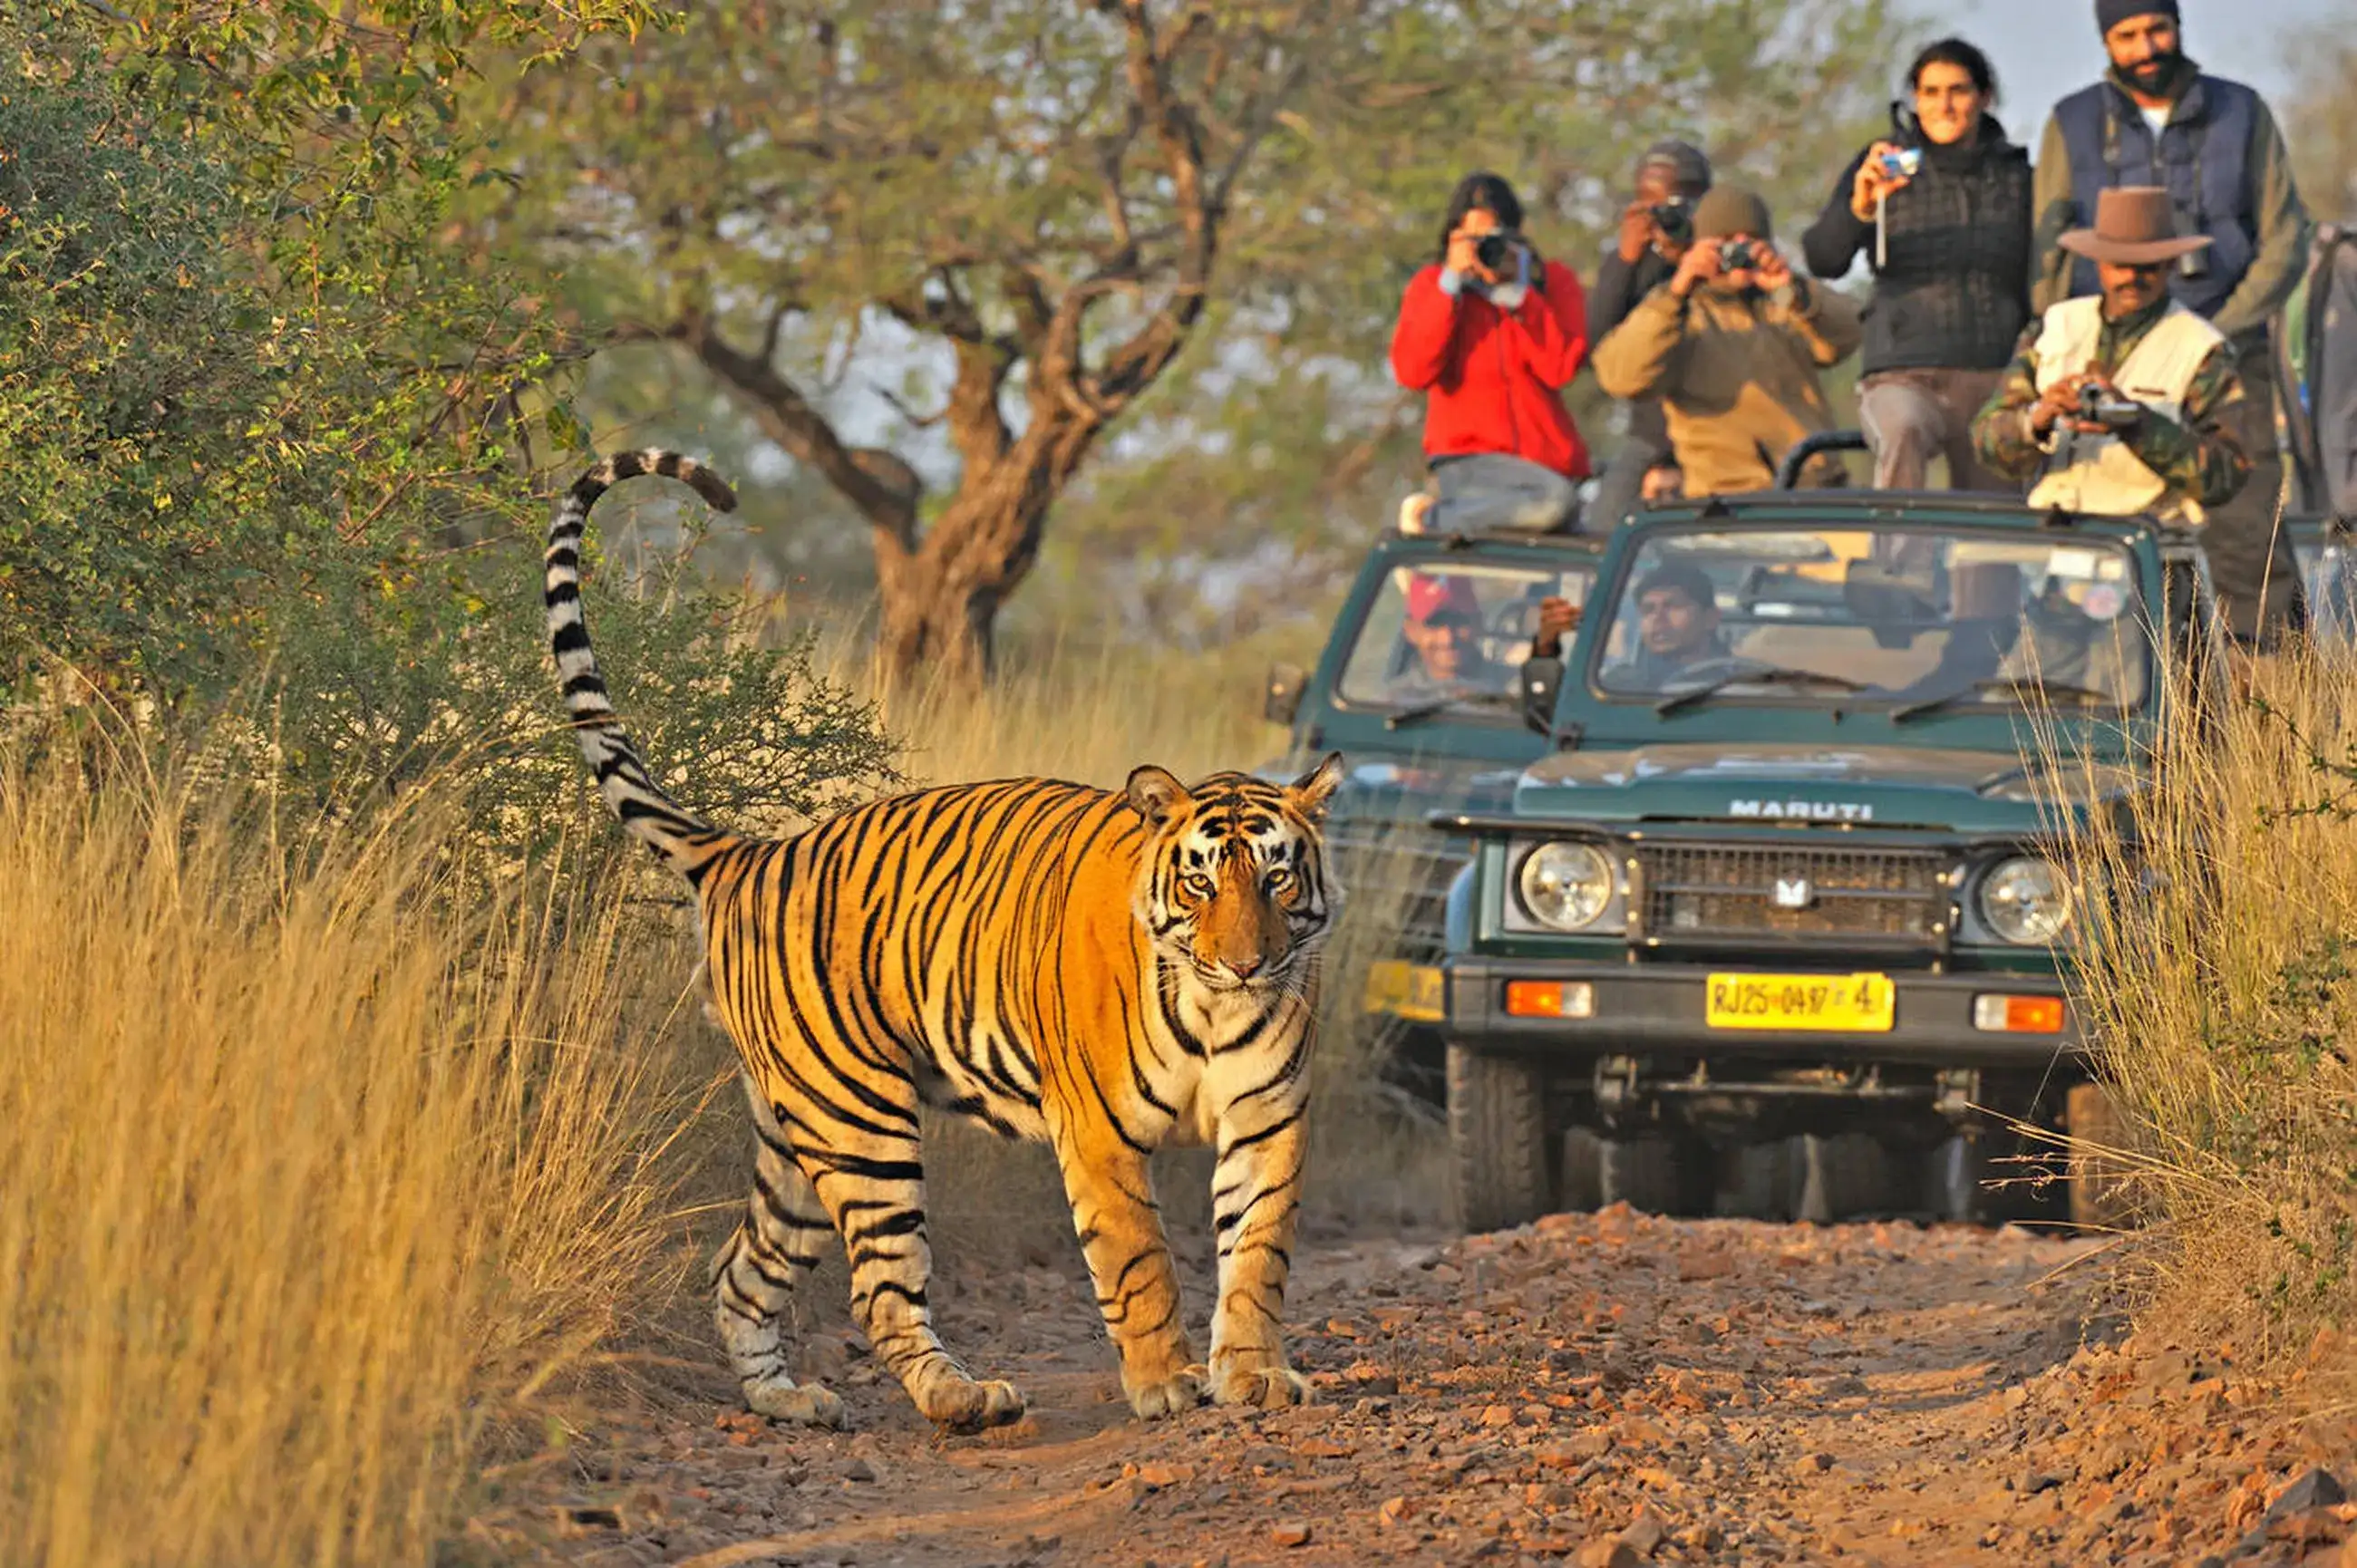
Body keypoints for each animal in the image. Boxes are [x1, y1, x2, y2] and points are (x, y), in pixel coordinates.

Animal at [542, 449, 1345, 1431]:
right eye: (1201, 881)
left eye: (1276, 878)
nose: (1245, 962)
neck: (1210, 1006)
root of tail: (748, 851)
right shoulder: (1100, 1136)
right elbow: (1139, 1262)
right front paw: (1164, 1382)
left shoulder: (1268, 1119)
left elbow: (1257, 1255)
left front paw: (1255, 1373)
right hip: (859, 1122)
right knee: (880, 1289)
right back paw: (963, 1396)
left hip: (795, 1136)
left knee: (741, 1270)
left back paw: (788, 1399)